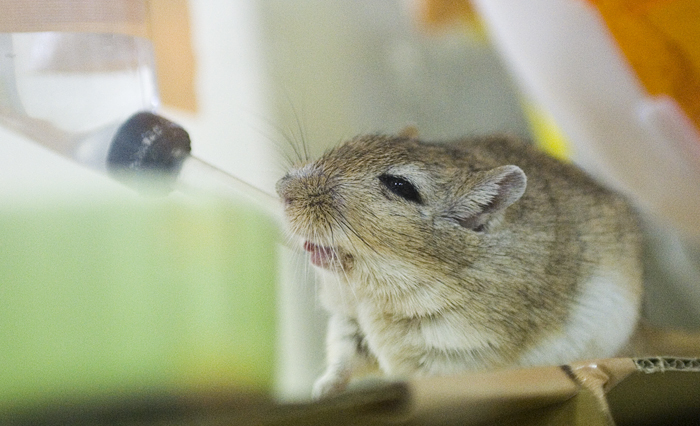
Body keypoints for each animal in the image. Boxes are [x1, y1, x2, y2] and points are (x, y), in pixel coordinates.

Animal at [275, 134, 643, 398]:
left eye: (400, 185)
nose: (281, 188)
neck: (380, 290)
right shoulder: (348, 322)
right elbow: (341, 363)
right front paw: (320, 393)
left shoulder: (459, 356)